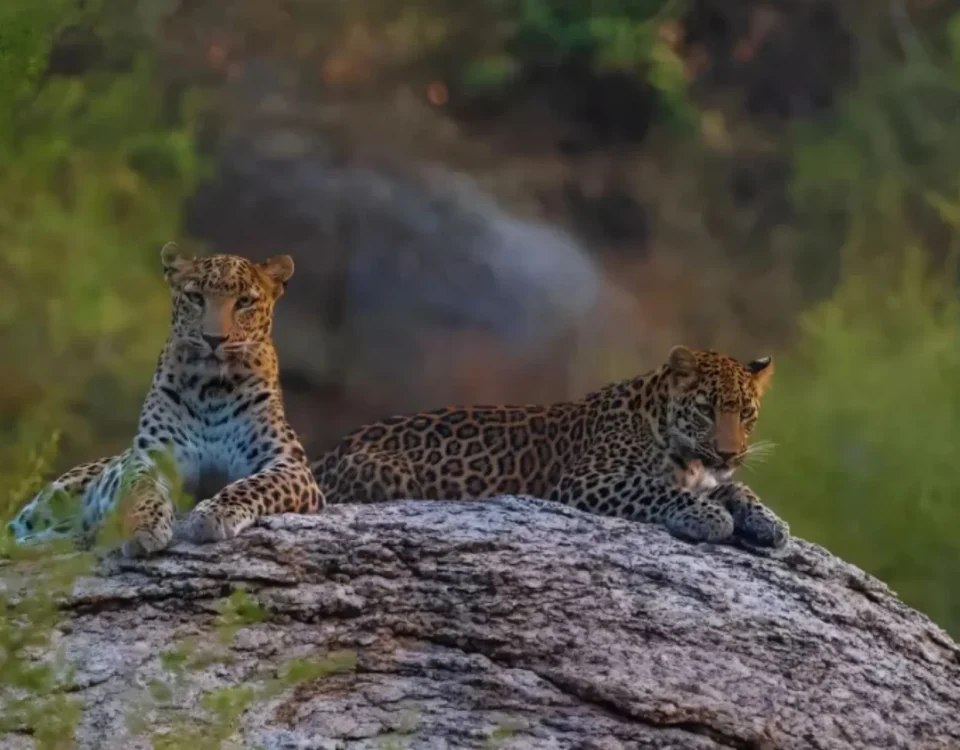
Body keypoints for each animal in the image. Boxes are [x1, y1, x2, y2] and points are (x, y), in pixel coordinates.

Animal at [7, 243, 323, 557]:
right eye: (196, 298)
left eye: (244, 302)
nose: (213, 339)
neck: (212, 389)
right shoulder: (151, 457)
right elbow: (142, 490)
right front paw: (144, 527)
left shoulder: (288, 463)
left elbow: (251, 485)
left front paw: (213, 514)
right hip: (51, 499)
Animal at [311, 345, 789, 548]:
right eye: (707, 410)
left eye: (746, 414)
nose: (729, 454)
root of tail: (324, 456)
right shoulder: (588, 479)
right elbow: (658, 489)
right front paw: (711, 517)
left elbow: (738, 489)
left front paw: (770, 523)